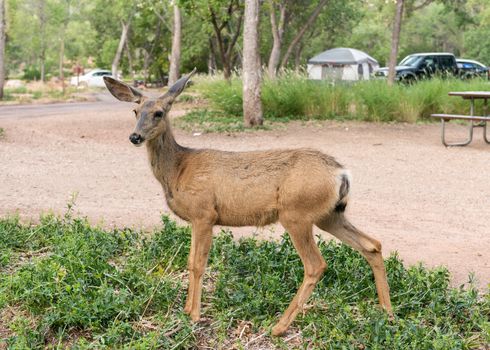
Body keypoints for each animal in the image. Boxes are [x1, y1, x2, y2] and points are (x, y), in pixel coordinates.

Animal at [103, 71, 394, 336]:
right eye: (135, 110)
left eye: (159, 113)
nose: (135, 137)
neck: (178, 169)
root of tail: (342, 173)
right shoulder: (197, 219)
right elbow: (188, 261)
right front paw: (185, 310)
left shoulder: (204, 213)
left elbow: (198, 264)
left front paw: (194, 315)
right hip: (329, 215)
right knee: (372, 245)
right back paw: (387, 313)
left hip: (296, 214)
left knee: (316, 265)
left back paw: (278, 327)